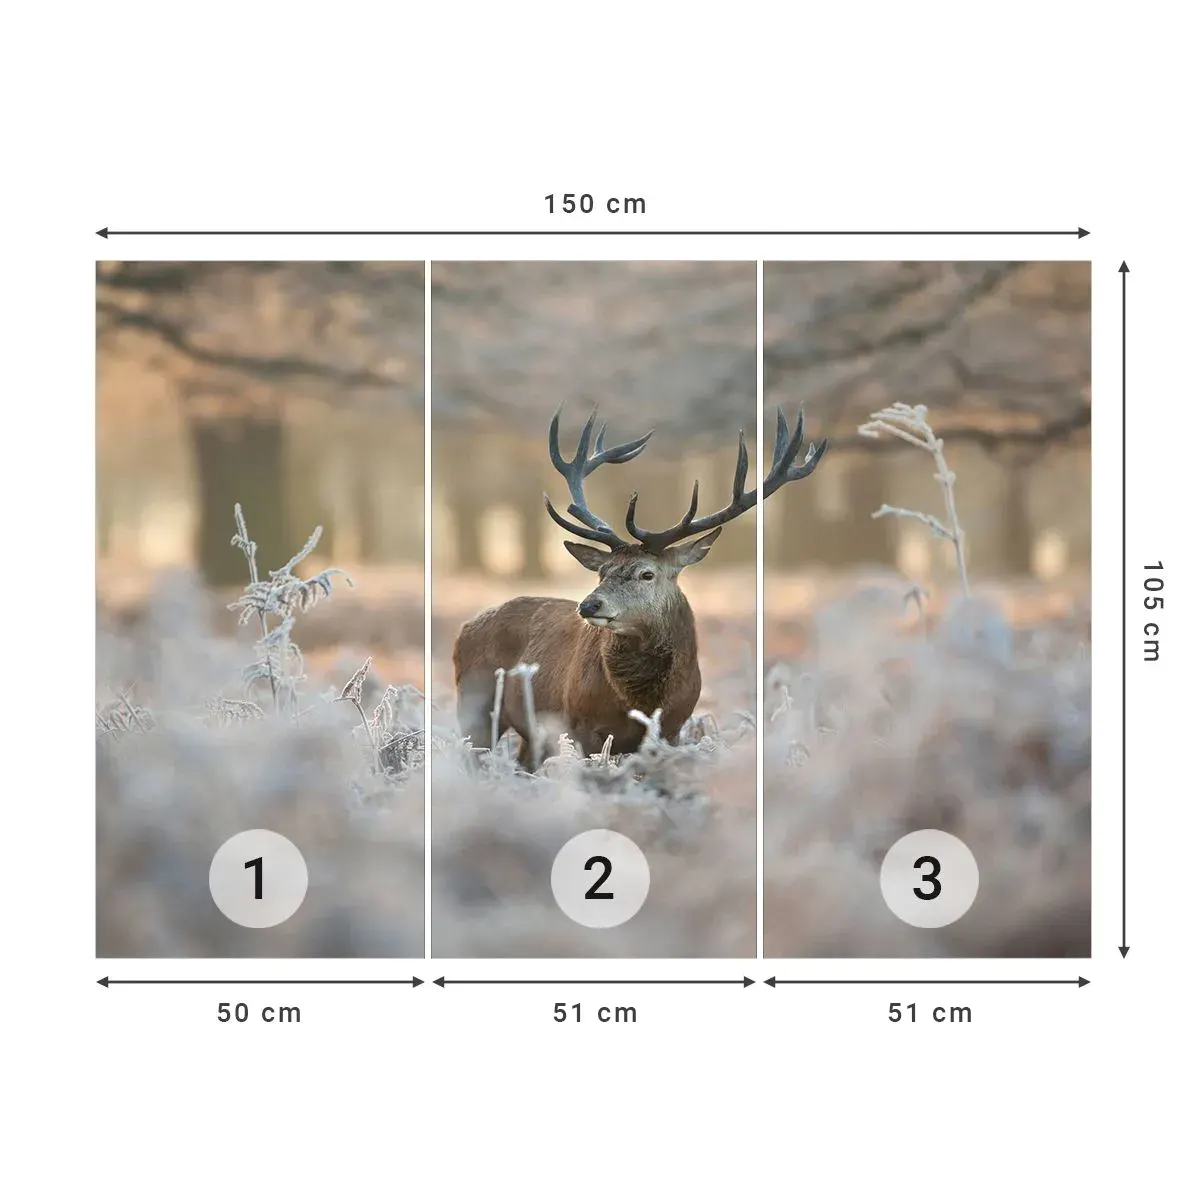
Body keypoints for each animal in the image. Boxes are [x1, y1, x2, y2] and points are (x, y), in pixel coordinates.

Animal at [453, 404, 827, 770]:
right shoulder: (578, 725)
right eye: (602, 572)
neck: (642, 701)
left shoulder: (673, 729)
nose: (589, 605)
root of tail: (466, 627)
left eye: (647, 574)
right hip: (474, 703)